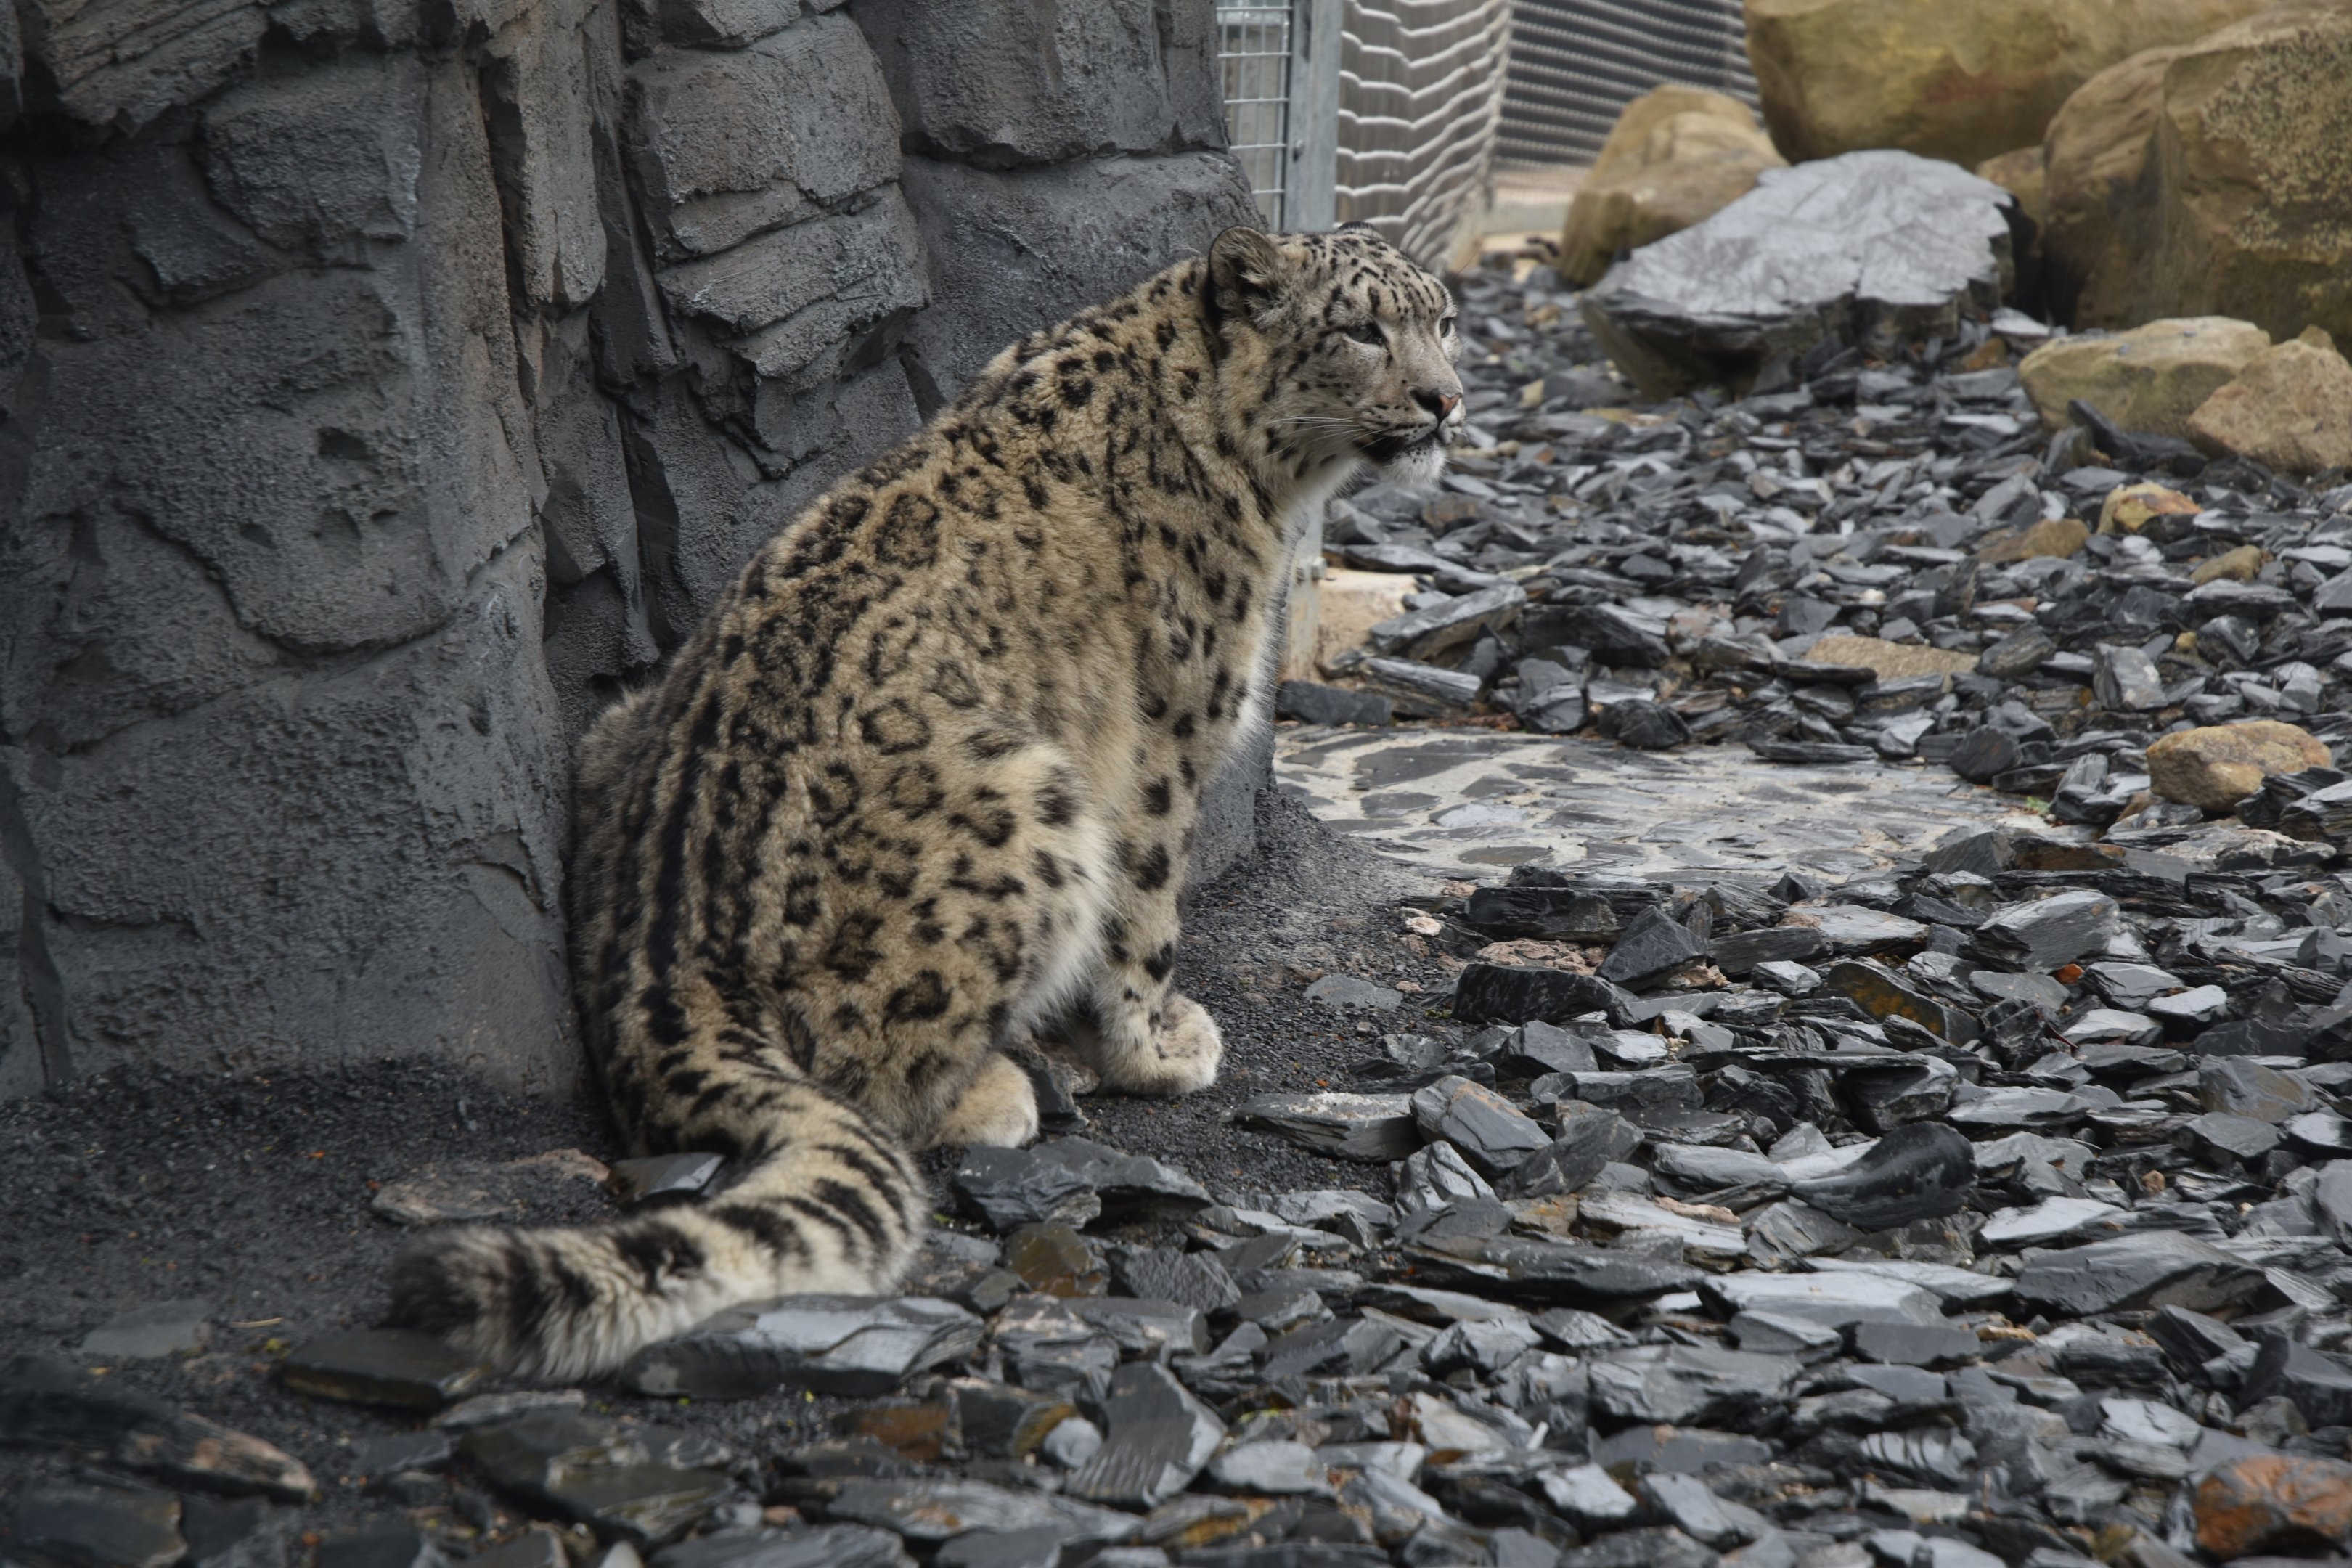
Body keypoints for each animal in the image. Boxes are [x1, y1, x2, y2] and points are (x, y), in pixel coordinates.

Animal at [387, 223, 1464, 1380]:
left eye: (1442, 320)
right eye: (1362, 330)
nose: (1446, 399)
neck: (1265, 481)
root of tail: (667, 963)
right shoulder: (1170, 740)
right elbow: (1148, 915)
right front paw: (1156, 1048)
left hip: (617, 731)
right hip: (1030, 800)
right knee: (880, 1083)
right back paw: (1004, 1090)